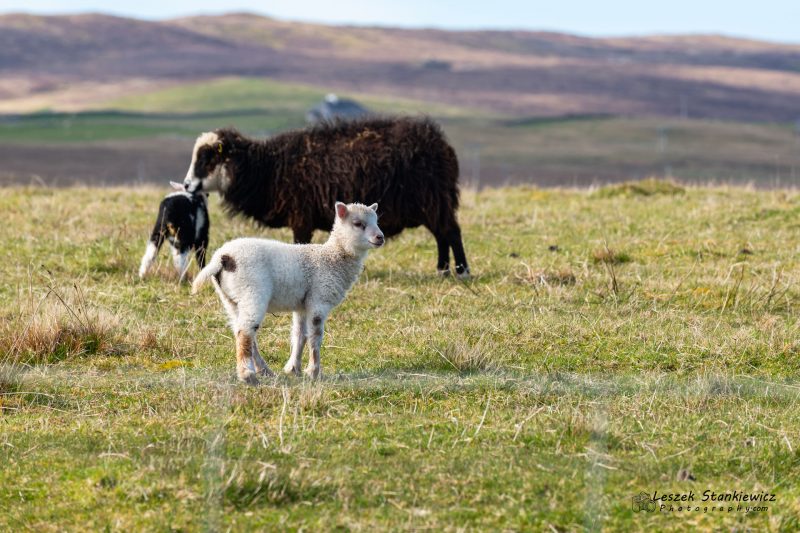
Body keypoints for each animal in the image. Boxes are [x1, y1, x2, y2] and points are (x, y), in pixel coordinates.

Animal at [181, 117, 470, 277]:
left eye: (207, 158)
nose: (186, 185)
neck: (268, 169)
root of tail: (441, 143)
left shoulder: (301, 217)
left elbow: (299, 244)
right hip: (433, 203)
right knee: (442, 235)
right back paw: (443, 270)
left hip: (435, 199)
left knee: (451, 232)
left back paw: (462, 271)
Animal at [192, 201, 384, 384]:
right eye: (358, 224)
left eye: (376, 221)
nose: (380, 237)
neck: (332, 256)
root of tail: (223, 257)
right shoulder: (319, 299)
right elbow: (315, 336)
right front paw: (314, 372)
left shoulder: (302, 305)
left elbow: (300, 335)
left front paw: (294, 369)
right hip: (252, 291)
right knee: (245, 332)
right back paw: (248, 375)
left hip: (231, 299)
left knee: (242, 331)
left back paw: (264, 370)